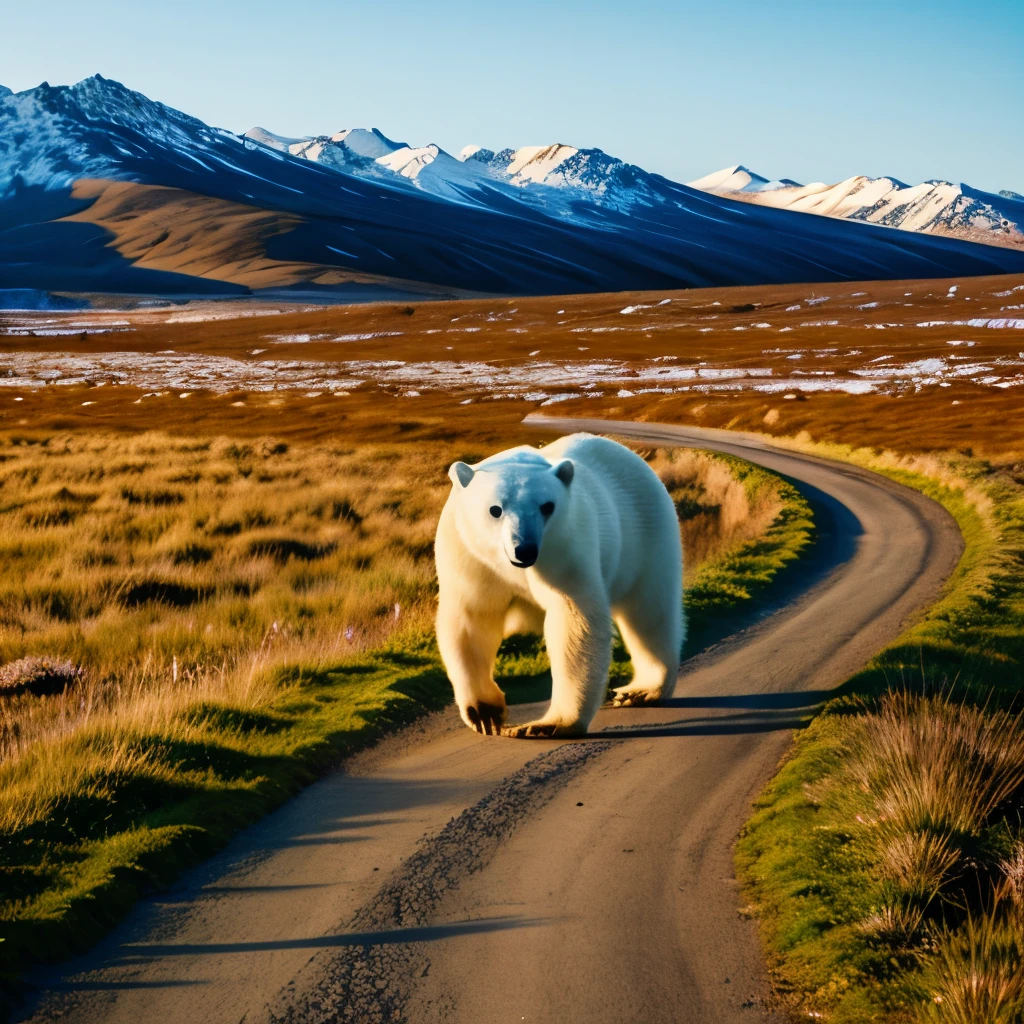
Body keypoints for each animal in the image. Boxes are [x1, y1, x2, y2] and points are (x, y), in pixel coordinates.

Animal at [432, 432, 679, 737]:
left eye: (547, 506)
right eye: (495, 509)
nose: (525, 549)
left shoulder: (565, 544)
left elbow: (573, 618)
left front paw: (548, 725)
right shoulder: (468, 552)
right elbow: (471, 618)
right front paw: (485, 714)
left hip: (645, 534)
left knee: (648, 611)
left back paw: (641, 690)